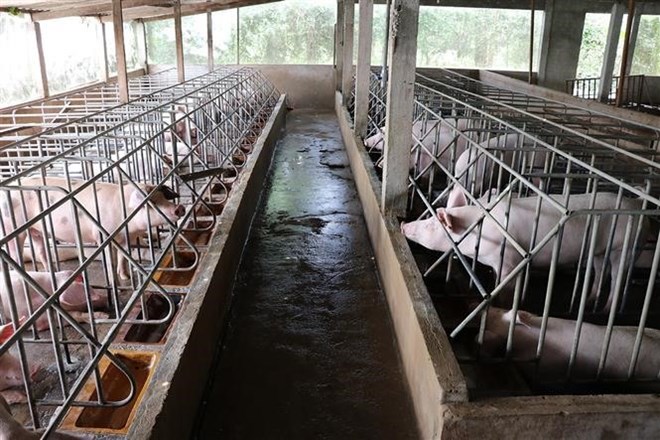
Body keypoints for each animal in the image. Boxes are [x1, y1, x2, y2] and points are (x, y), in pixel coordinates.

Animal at [1, 177, 186, 280]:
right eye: (151, 202)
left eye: (163, 197)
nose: (179, 208)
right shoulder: (102, 237)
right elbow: (111, 261)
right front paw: (114, 281)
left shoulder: (128, 238)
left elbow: (123, 258)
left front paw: (125, 276)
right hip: (12, 227)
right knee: (16, 254)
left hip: (36, 230)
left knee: (41, 251)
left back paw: (50, 272)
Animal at [402, 192, 648, 310]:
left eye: (432, 226)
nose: (404, 225)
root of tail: (636, 205)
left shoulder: (509, 259)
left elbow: (503, 288)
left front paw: (501, 306)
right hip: (600, 250)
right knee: (599, 272)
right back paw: (588, 301)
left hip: (625, 247)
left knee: (617, 278)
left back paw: (605, 310)